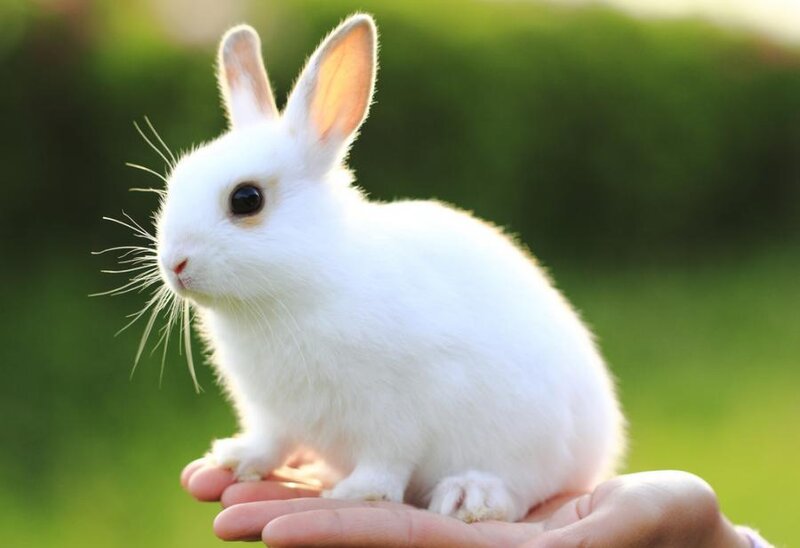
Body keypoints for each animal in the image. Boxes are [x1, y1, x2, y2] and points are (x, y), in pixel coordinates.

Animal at [154, 13, 625, 523]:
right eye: (177, 179)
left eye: (246, 199)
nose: (174, 264)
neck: (308, 279)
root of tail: (600, 450)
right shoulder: (272, 413)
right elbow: (273, 442)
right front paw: (235, 458)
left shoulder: (395, 415)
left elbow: (387, 460)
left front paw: (359, 493)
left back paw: (470, 496)